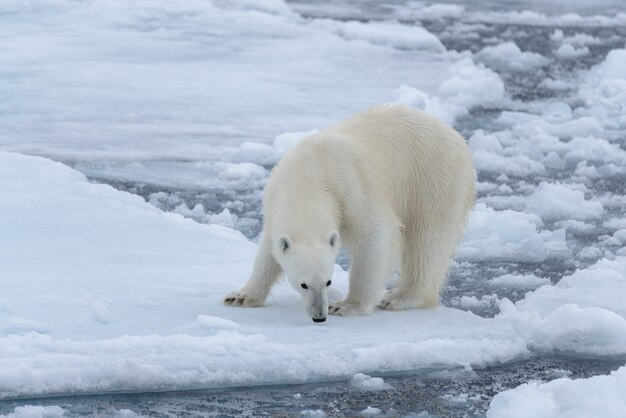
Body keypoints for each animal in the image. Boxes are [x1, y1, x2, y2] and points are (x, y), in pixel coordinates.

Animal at [224, 104, 472, 324]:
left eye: (328, 281)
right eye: (304, 284)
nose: (320, 316)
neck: (307, 177)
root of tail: (453, 134)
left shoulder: (350, 187)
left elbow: (375, 234)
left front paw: (347, 305)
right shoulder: (273, 201)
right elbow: (268, 252)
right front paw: (240, 297)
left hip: (433, 177)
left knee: (428, 240)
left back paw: (401, 297)